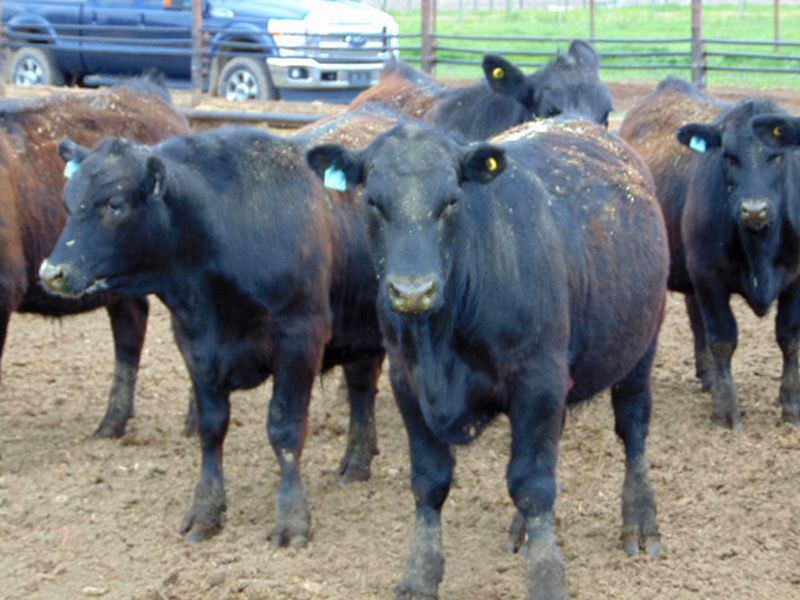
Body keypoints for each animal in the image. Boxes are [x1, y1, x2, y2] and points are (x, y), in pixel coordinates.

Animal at [39, 125, 386, 546]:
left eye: (114, 204)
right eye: (68, 201)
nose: (53, 272)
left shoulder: (300, 339)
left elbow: (285, 431)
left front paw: (292, 519)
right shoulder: (194, 345)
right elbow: (211, 429)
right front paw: (206, 511)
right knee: (362, 389)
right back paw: (356, 462)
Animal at [306, 119, 668, 600]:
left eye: (452, 200)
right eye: (372, 202)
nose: (413, 291)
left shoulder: (538, 380)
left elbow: (533, 485)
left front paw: (547, 578)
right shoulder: (408, 381)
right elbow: (429, 481)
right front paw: (420, 575)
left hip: (639, 348)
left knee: (633, 429)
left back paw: (640, 522)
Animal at [621, 77, 800, 429]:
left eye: (777, 156)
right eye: (728, 156)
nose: (754, 209)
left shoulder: (798, 278)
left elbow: (789, 338)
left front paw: (791, 404)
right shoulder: (709, 275)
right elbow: (723, 339)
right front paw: (726, 409)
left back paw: (708, 378)